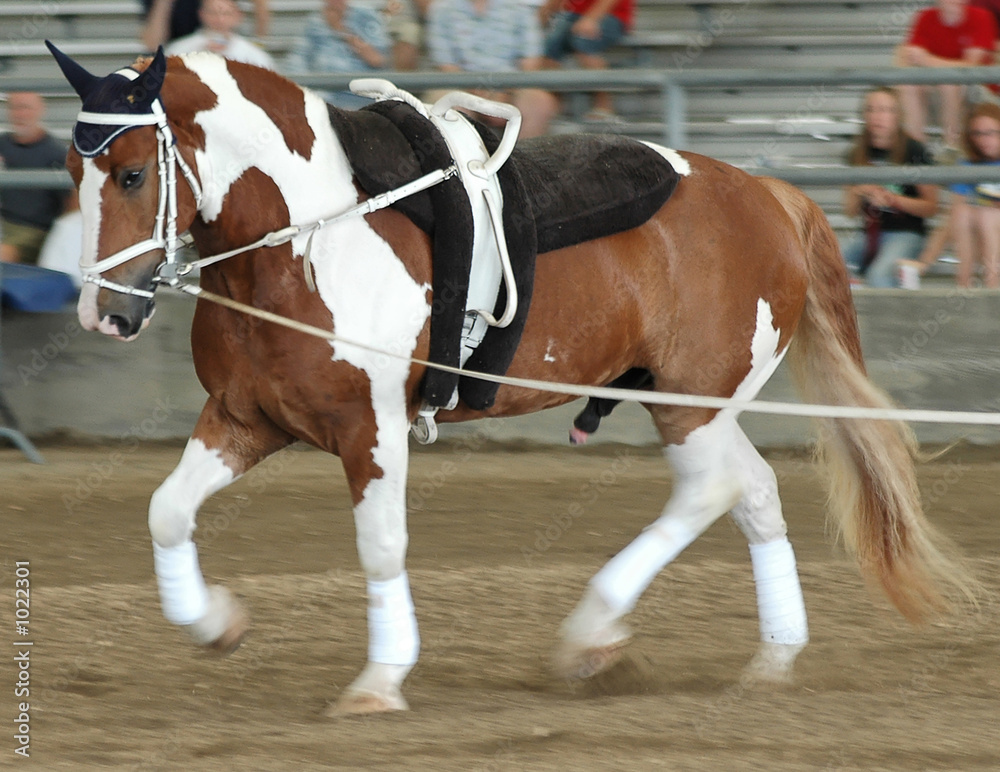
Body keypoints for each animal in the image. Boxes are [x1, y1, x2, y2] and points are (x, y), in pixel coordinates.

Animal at [47, 45, 968, 716]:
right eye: (70, 173)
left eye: (132, 174)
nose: (104, 313)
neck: (307, 237)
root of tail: (771, 195)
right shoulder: (244, 418)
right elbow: (167, 512)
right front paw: (217, 626)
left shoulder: (370, 428)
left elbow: (380, 545)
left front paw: (380, 681)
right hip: (690, 404)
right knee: (753, 491)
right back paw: (770, 657)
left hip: (694, 406)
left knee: (710, 490)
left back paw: (591, 636)